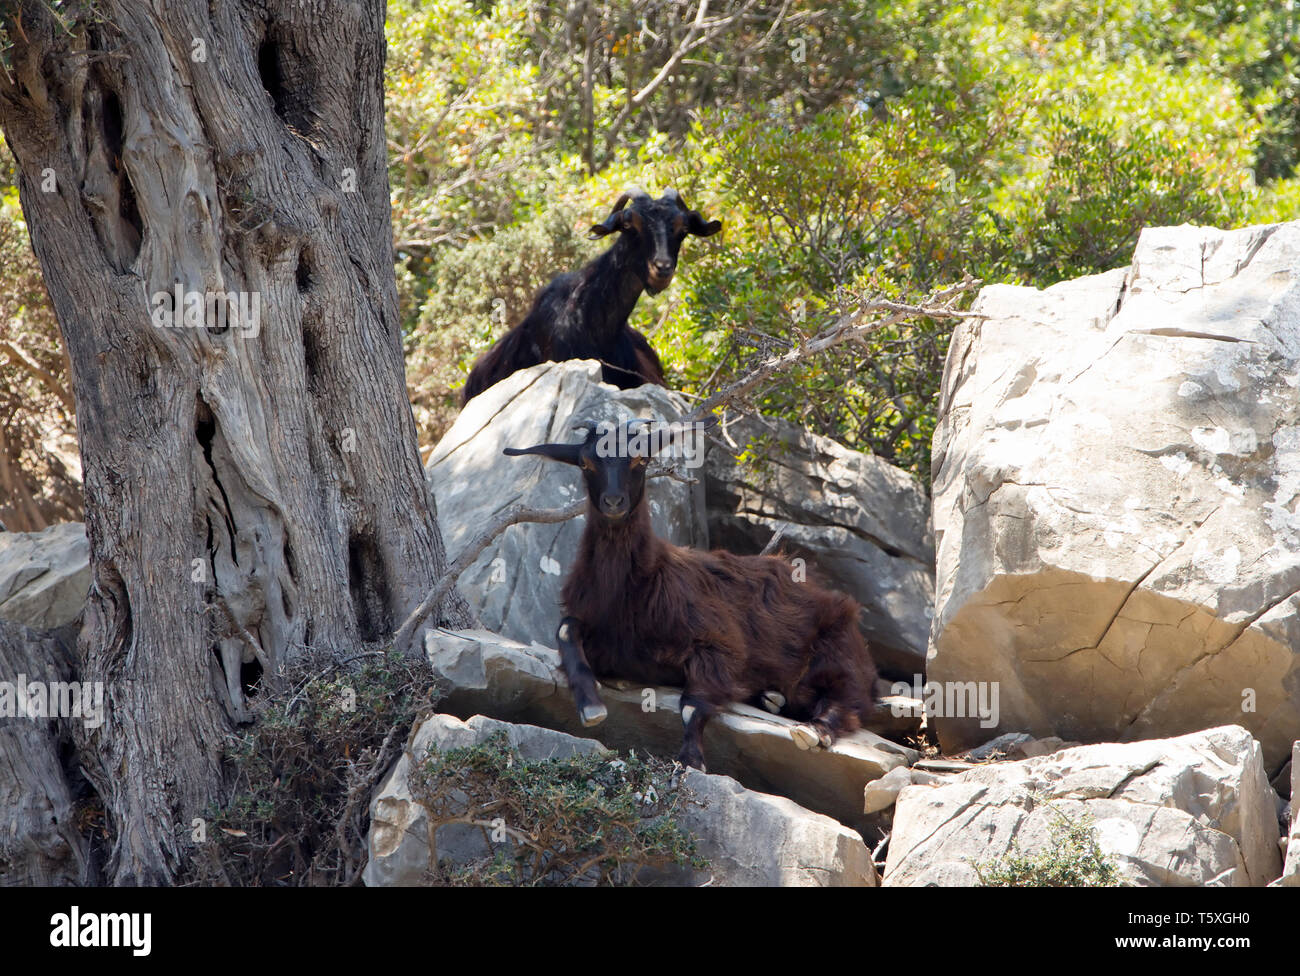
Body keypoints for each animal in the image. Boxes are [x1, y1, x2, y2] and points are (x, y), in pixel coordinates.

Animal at [501, 421, 878, 769]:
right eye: (585, 463)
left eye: (640, 459)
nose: (613, 501)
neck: (640, 582)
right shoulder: (605, 641)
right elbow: (566, 629)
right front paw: (590, 704)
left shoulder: (717, 641)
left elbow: (692, 703)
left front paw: (692, 757)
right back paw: (771, 698)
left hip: (838, 651)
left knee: (848, 701)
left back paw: (813, 730)